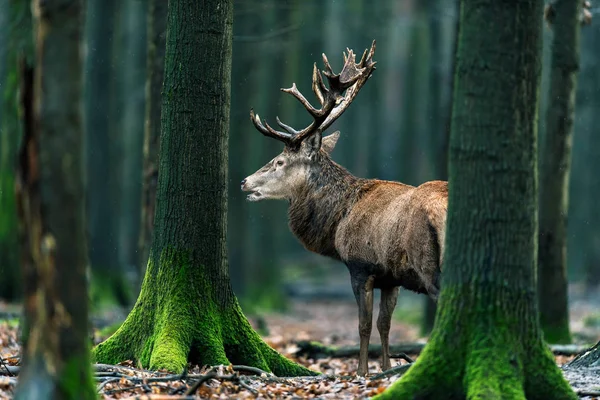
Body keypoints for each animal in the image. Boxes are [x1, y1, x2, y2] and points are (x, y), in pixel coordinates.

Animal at [241, 40, 448, 376]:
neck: (339, 220)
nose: (244, 182)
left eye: (279, 161)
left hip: (430, 264)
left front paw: (362, 372)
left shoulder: (360, 265)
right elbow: (385, 325)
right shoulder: (391, 277)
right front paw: (385, 367)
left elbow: (363, 325)